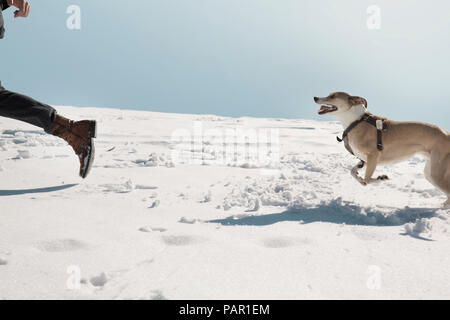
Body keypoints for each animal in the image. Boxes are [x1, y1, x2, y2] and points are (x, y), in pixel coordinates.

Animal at [312, 92, 450, 208]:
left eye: (333, 96)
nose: (315, 97)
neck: (356, 122)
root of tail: (447, 134)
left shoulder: (373, 156)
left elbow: (367, 179)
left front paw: (381, 178)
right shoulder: (364, 159)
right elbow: (353, 172)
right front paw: (359, 177)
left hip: (436, 173)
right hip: (430, 172)